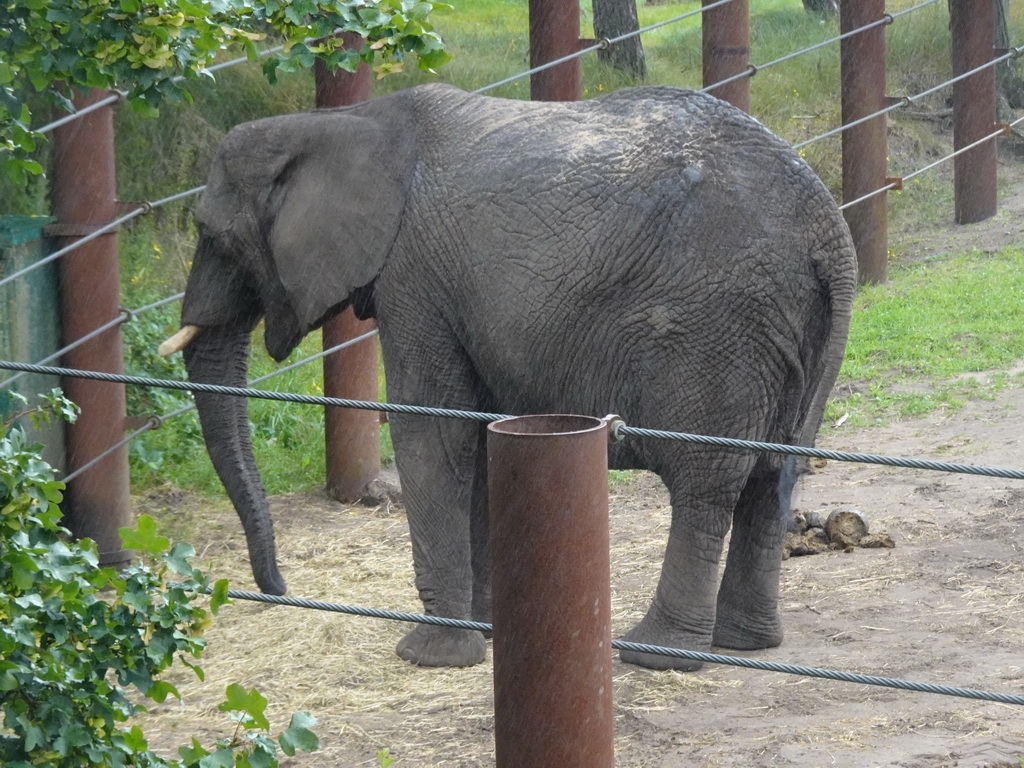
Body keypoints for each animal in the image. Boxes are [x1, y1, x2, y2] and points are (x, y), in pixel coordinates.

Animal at [165, 82, 856, 671]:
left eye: (212, 235)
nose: (277, 587)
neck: (342, 121)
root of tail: (828, 226)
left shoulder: (415, 278)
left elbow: (432, 434)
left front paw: (432, 655)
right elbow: (479, 434)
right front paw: (493, 630)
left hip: (719, 329)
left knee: (706, 482)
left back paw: (654, 654)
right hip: (788, 329)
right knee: (774, 473)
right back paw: (747, 645)